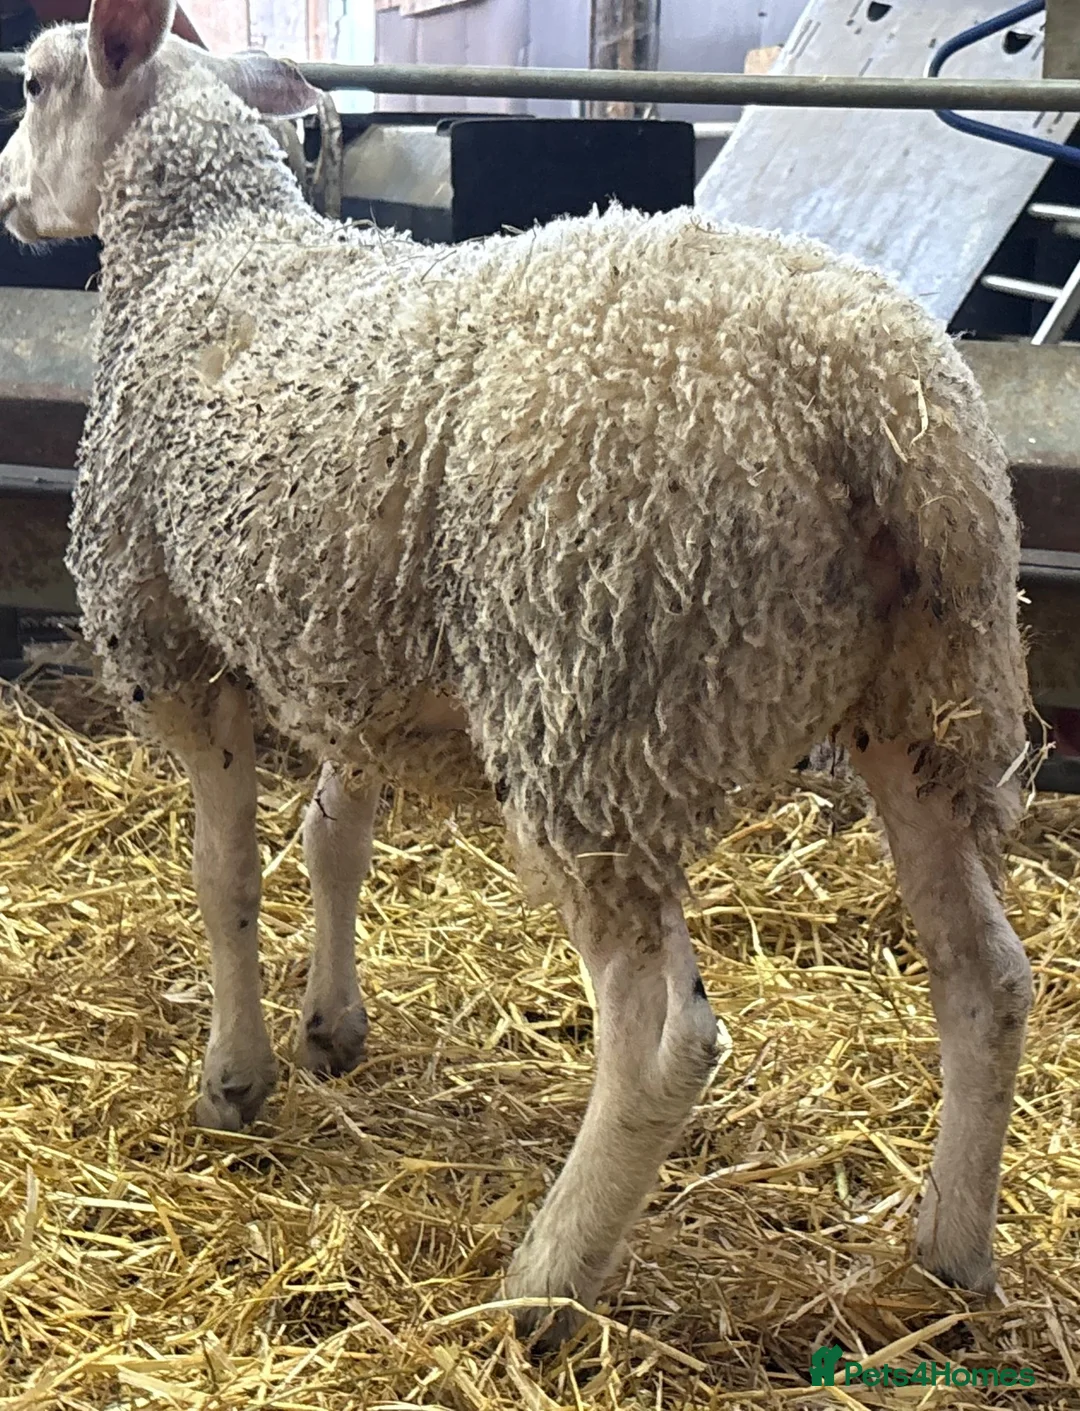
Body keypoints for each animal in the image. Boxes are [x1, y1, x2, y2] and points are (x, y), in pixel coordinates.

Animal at [0, 0, 1034, 1348]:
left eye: (33, 82)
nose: (7, 197)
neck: (207, 253)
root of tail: (867, 394)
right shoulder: (351, 653)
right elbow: (334, 842)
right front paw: (332, 1027)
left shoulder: (175, 646)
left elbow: (226, 877)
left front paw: (236, 1076)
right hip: (929, 696)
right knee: (986, 979)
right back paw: (951, 1248)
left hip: (601, 702)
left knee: (662, 1038)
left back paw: (543, 1282)